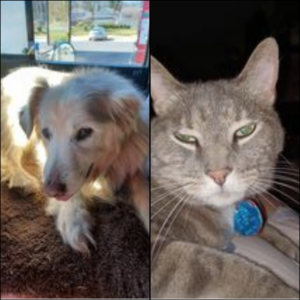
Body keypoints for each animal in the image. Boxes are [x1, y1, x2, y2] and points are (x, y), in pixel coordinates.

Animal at [0, 67, 149, 252]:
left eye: (84, 132)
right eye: (46, 133)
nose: (50, 191)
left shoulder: (132, 163)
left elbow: (143, 187)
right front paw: (73, 220)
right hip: (16, 131)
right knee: (9, 156)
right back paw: (22, 181)